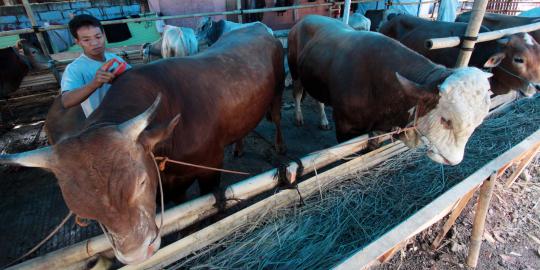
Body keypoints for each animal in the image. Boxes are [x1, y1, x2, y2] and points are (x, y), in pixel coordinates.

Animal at [1, 24, 286, 264]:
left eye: (139, 182)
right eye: (80, 207)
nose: (136, 254)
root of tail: (259, 26)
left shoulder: (210, 167)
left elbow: (209, 205)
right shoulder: (169, 183)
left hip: (277, 92)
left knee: (277, 118)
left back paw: (280, 148)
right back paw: (238, 147)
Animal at [288, 15, 492, 166]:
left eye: (477, 123)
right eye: (446, 120)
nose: (453, 160)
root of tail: (306, 18)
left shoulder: (379, 128)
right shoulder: (346, 127)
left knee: (319, 98)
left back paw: (323, 120)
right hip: (295, 71)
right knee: (297, 92)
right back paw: (298, 117)